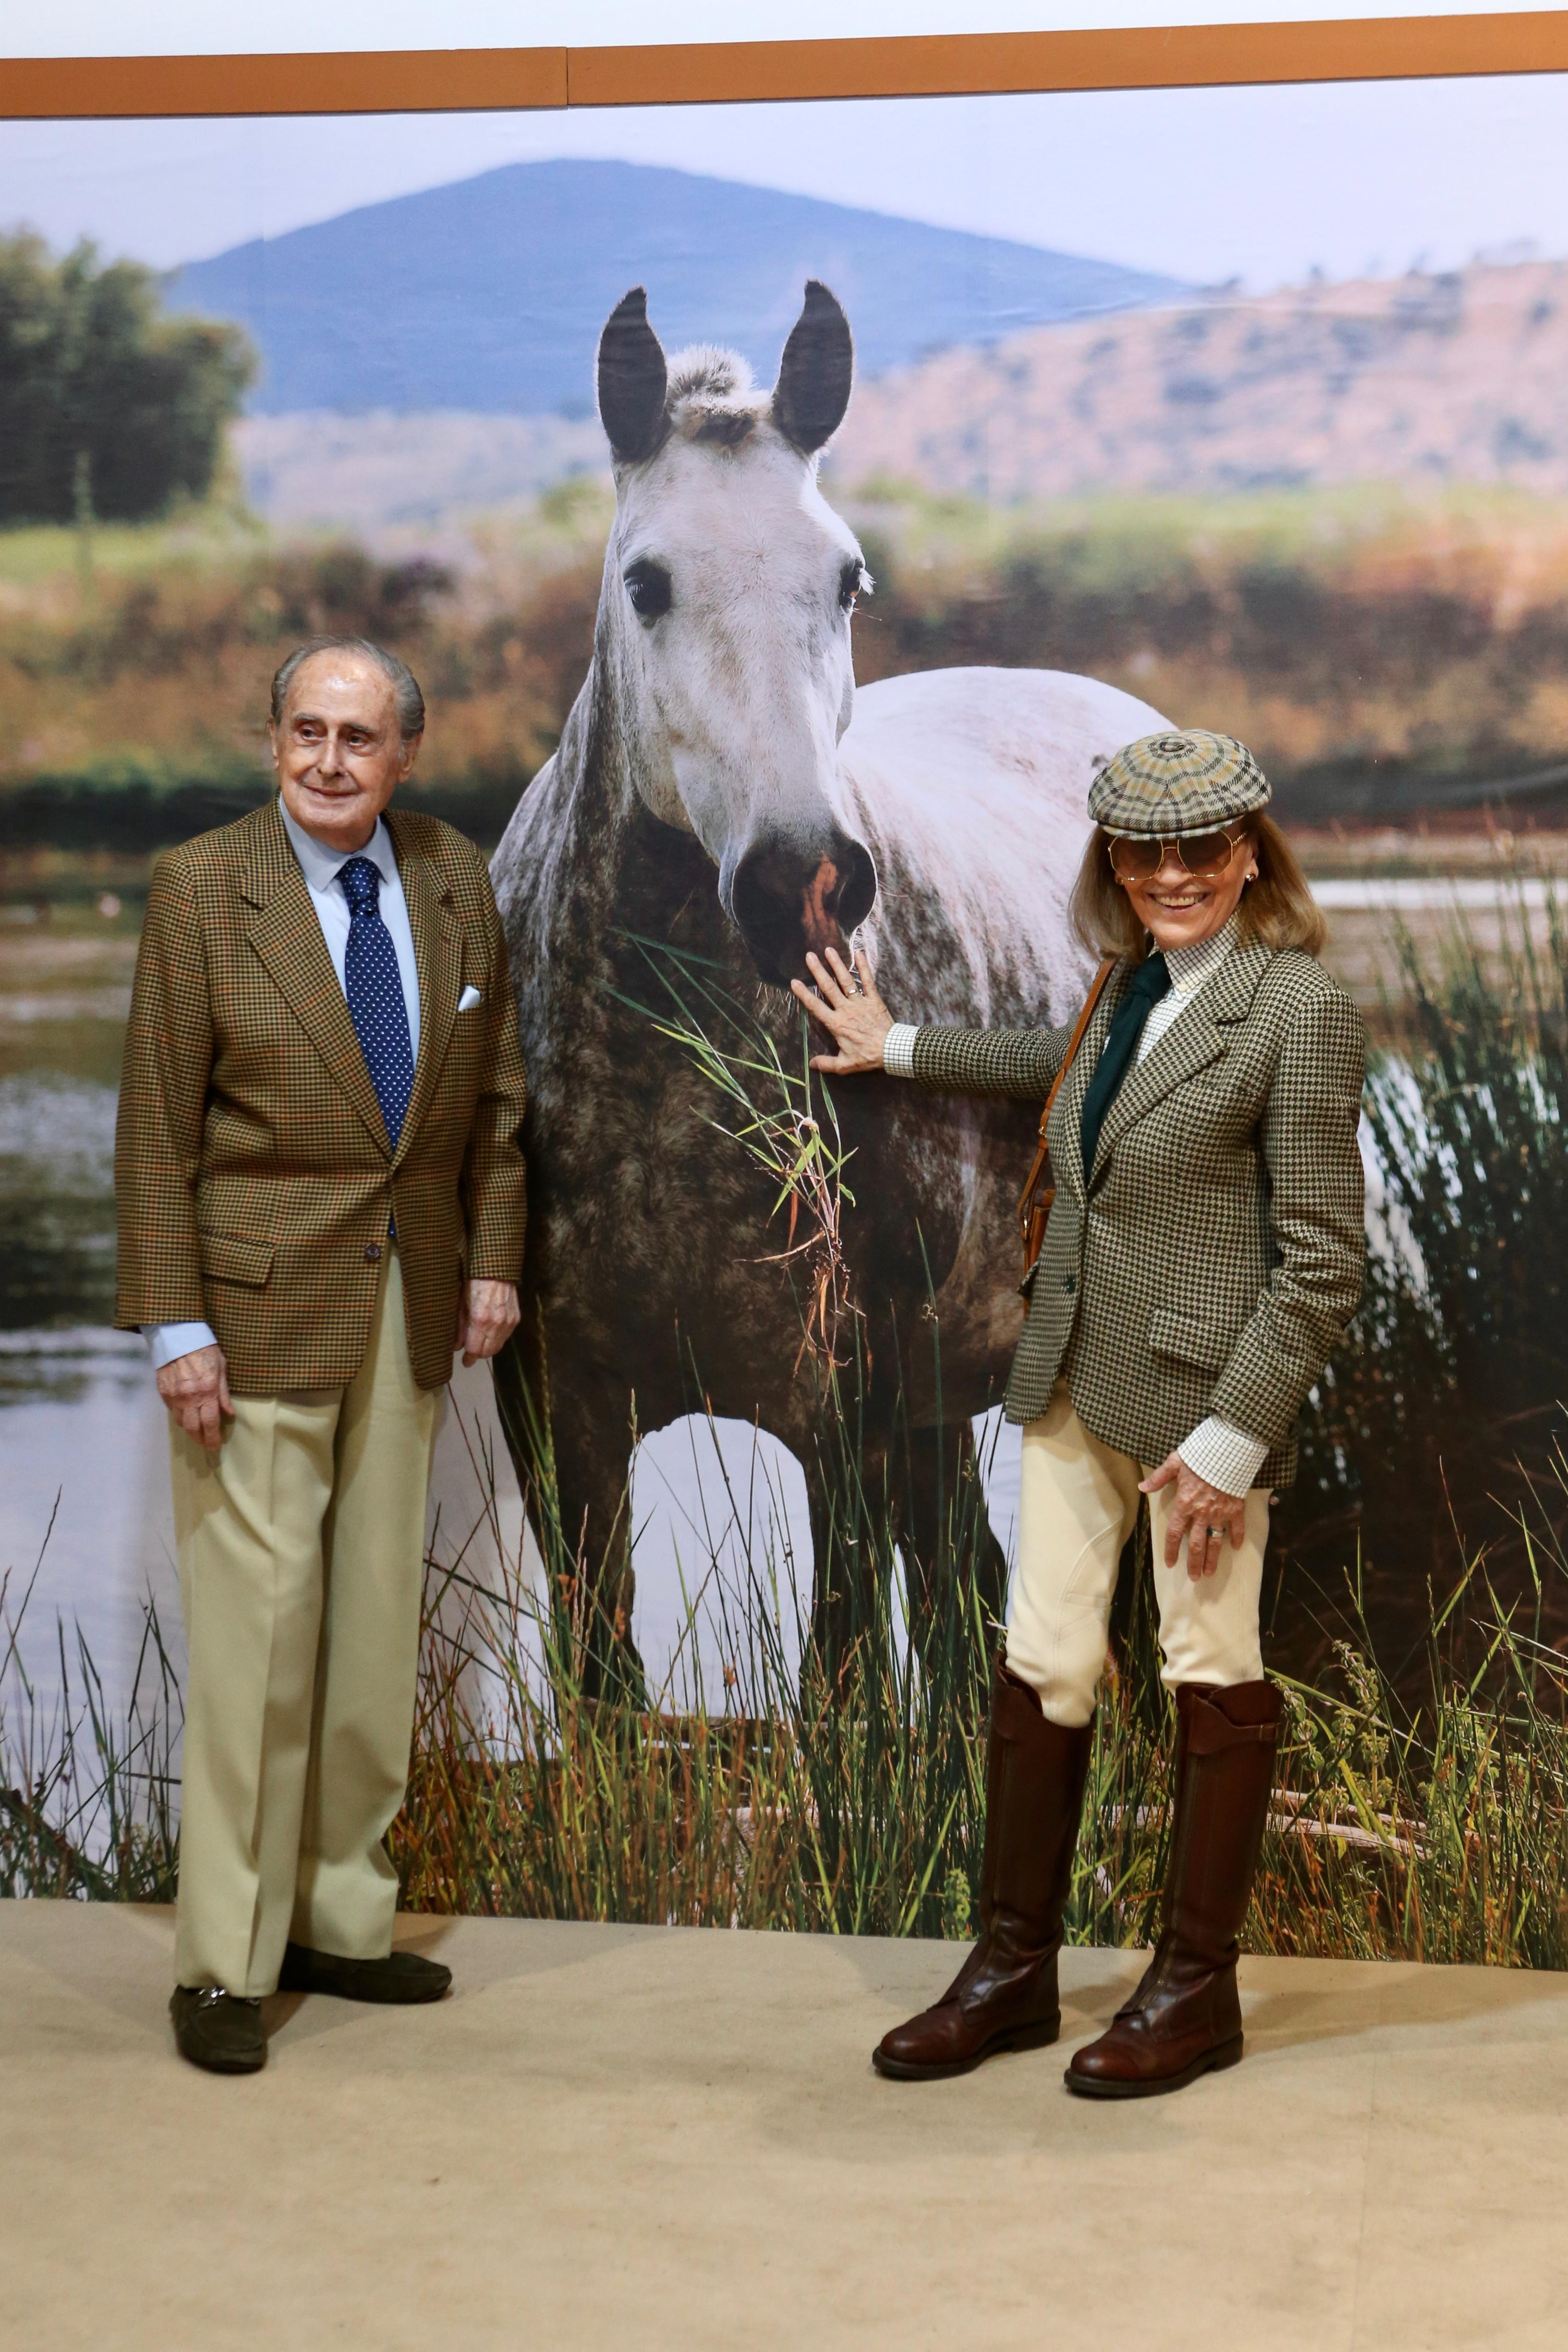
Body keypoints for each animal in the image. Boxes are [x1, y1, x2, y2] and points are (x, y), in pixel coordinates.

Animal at [491, 280, 1166, 1674]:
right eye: (645, 582)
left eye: (846, 579)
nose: (801, 878)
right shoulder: (558, 1420)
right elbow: (603, 1682)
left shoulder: (841, 1411)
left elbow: (839, 1678)